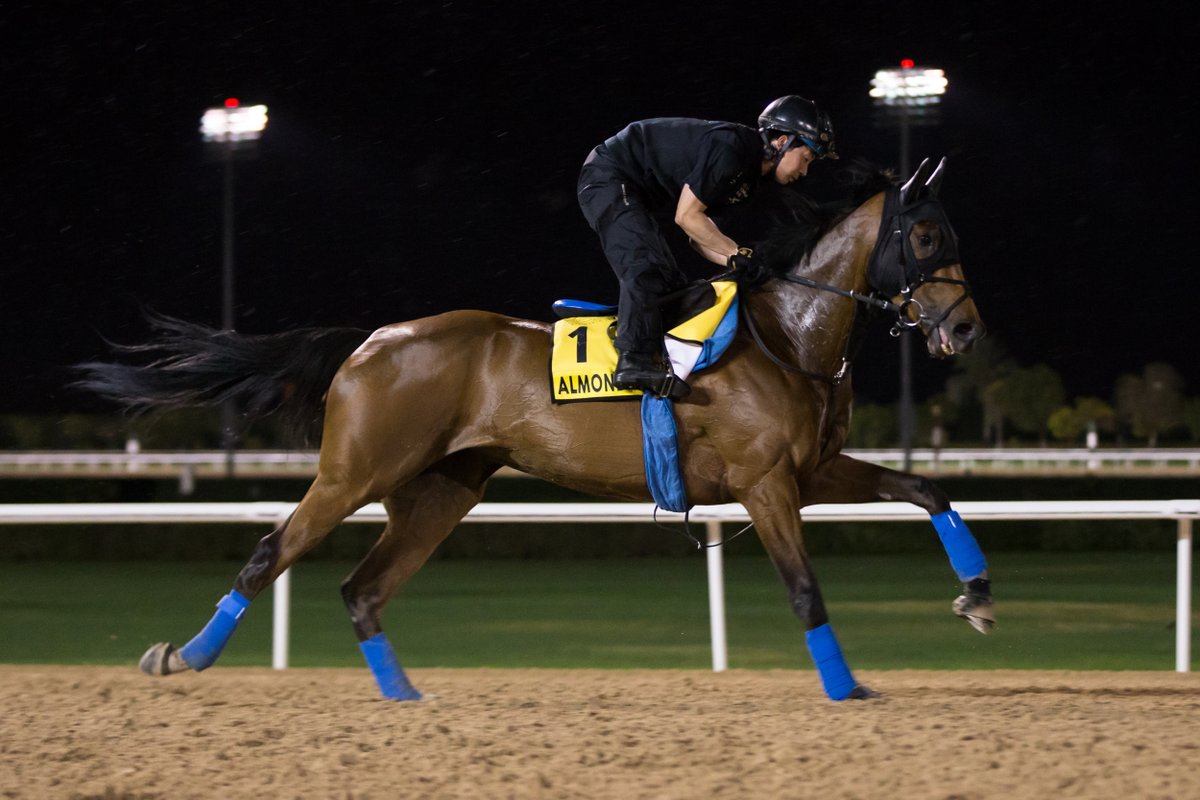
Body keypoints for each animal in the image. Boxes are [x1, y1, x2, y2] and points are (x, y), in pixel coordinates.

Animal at [77, 157, 990, 702]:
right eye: (924, 233)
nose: (966, 326)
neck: (787, 334)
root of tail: (371, 340)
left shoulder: (810, 470)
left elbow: (926, 487)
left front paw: (976, 596)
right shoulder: (765, 483)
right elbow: (805, 588)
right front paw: (846, 688)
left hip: (441, 491)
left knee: (362, 588)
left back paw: (403, 696)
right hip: (355, 473)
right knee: (273, 552)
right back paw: (184, 657)